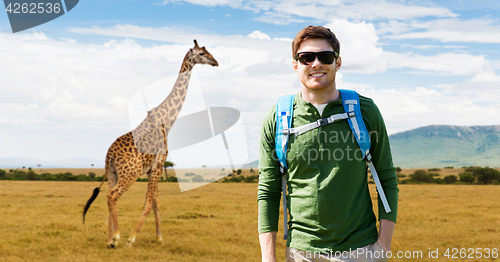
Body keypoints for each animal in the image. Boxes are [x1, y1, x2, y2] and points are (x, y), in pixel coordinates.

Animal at [83, 39, 218, 248]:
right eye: (202, 53)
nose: (215, 62)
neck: (167, 121)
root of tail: (109, 155)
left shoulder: (152, 169)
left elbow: (156, 203)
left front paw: (159, 238)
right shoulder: (158, 164)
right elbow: (148, 203)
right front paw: (131, 238)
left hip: (113, 173)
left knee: (108, 196)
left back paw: (109, 239)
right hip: (129, 174)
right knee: (113, 196)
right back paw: (117, 237)